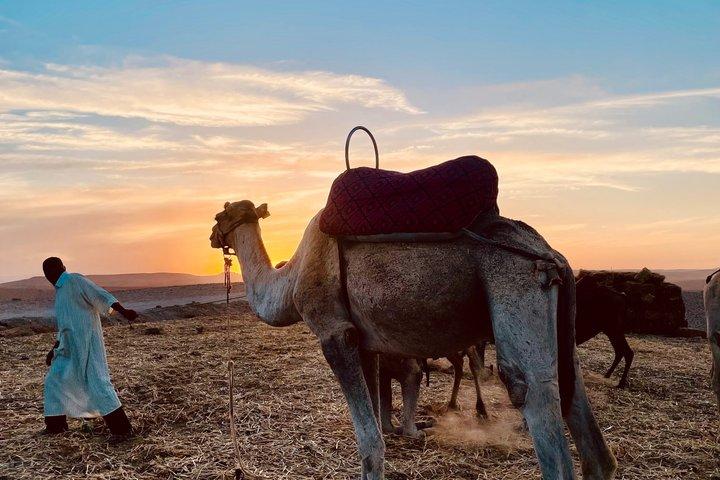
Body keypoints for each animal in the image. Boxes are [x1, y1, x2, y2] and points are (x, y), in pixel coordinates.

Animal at [210, 200, 617, 479]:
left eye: (220, 216)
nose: (212, 237)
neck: (291, 279)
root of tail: (552, 254)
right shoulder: (365, 343)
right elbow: (378, 419)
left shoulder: (334, 331)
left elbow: (370, 443)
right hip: (560, 326)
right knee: (590, 435)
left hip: (516, 286)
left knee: (527, 388)